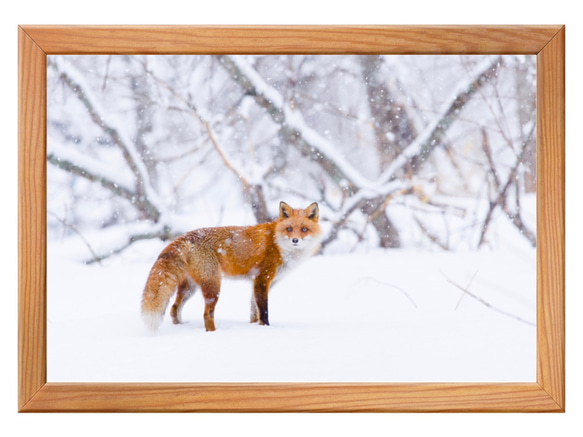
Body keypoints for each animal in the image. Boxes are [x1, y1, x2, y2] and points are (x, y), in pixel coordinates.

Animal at [142, 201, 324, 330]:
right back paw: (213, 333)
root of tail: (186, 236)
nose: (295, 240)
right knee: (206, 314)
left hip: (191, 287)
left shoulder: (259, 283)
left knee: (174, 309)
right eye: (289, 229)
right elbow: (264, 312)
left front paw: (254, 327)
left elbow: (254, 311)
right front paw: (266, 329)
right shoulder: (262, 279)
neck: (278, 244)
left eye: (304, 229)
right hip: (213, 286)